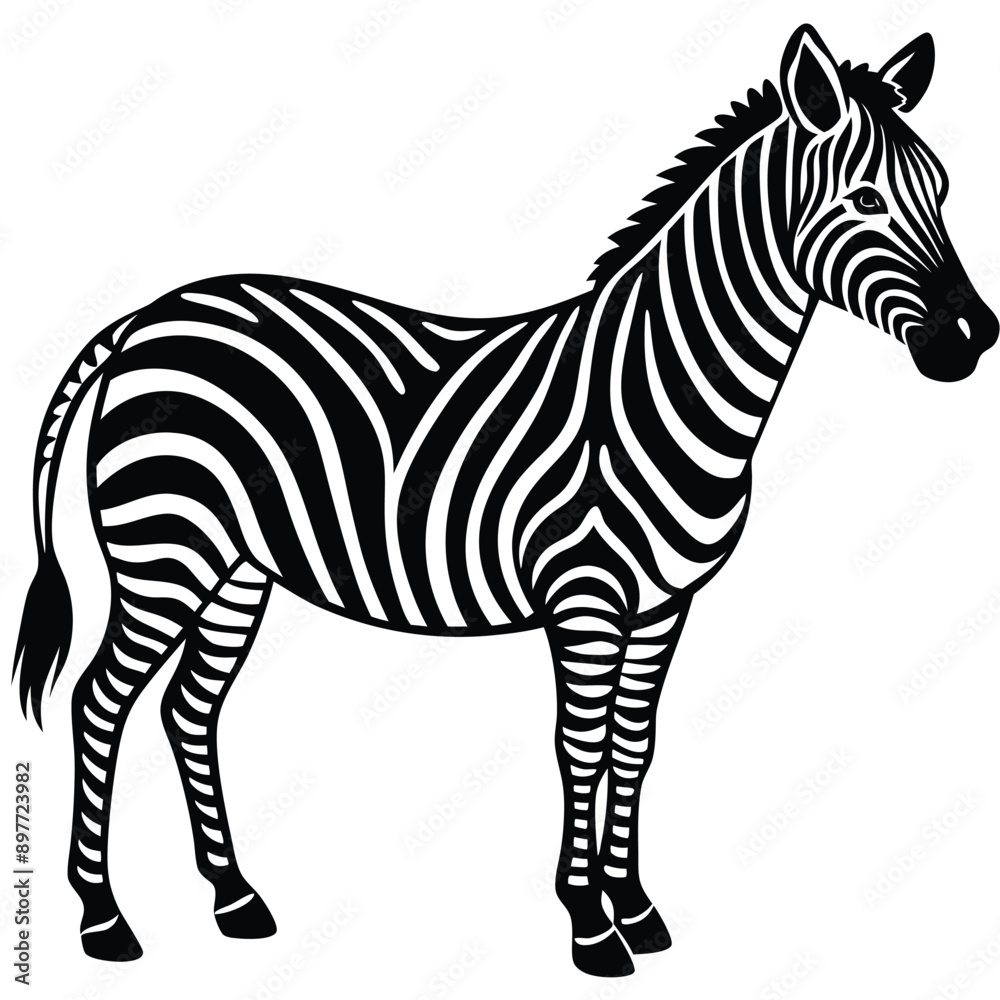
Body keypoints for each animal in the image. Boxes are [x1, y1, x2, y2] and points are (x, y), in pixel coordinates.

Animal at [11, 23, 996, 978]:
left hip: (235, 568)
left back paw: (236, 900)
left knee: (190, 708)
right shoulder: (585, 593)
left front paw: (635, 908)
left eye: (945, 191)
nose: (976, 335)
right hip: (162, 552)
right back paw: (104, 919)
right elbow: (579, 744)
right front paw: (590, 927)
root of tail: (146, 318)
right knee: (100, 701)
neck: (657, 385)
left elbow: (633, 745)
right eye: (864, 200)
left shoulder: (664, 603)